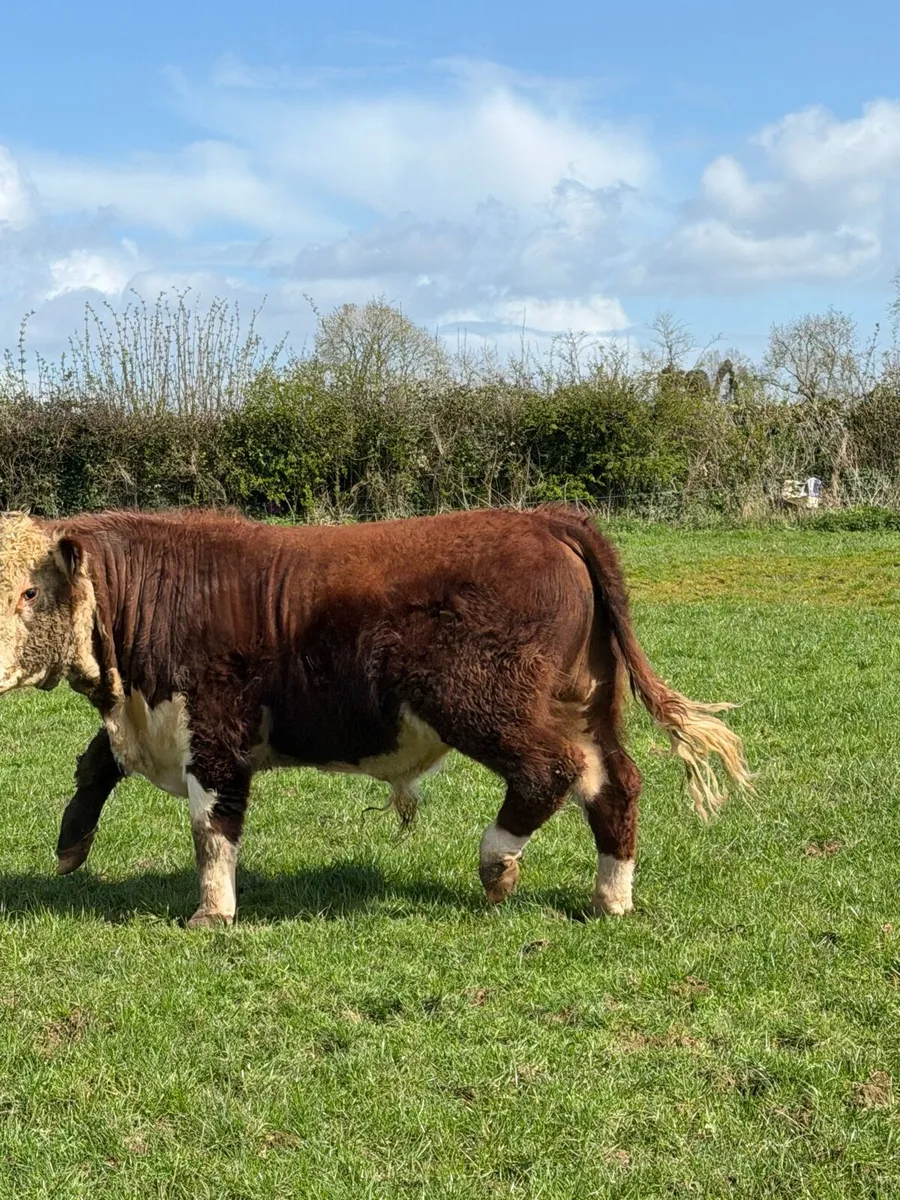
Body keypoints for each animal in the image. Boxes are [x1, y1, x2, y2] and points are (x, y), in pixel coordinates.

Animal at [0, 505, 751, 927]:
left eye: (30, 591)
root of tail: (544, 517)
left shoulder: (215, 732)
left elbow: (212, 827)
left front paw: (211, 912)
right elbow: (95, 762)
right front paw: (70, 847)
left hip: (485, 703)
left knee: (552, 770)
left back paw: (497, 865)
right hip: (584, 703)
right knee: (613, 783)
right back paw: (609, 898)